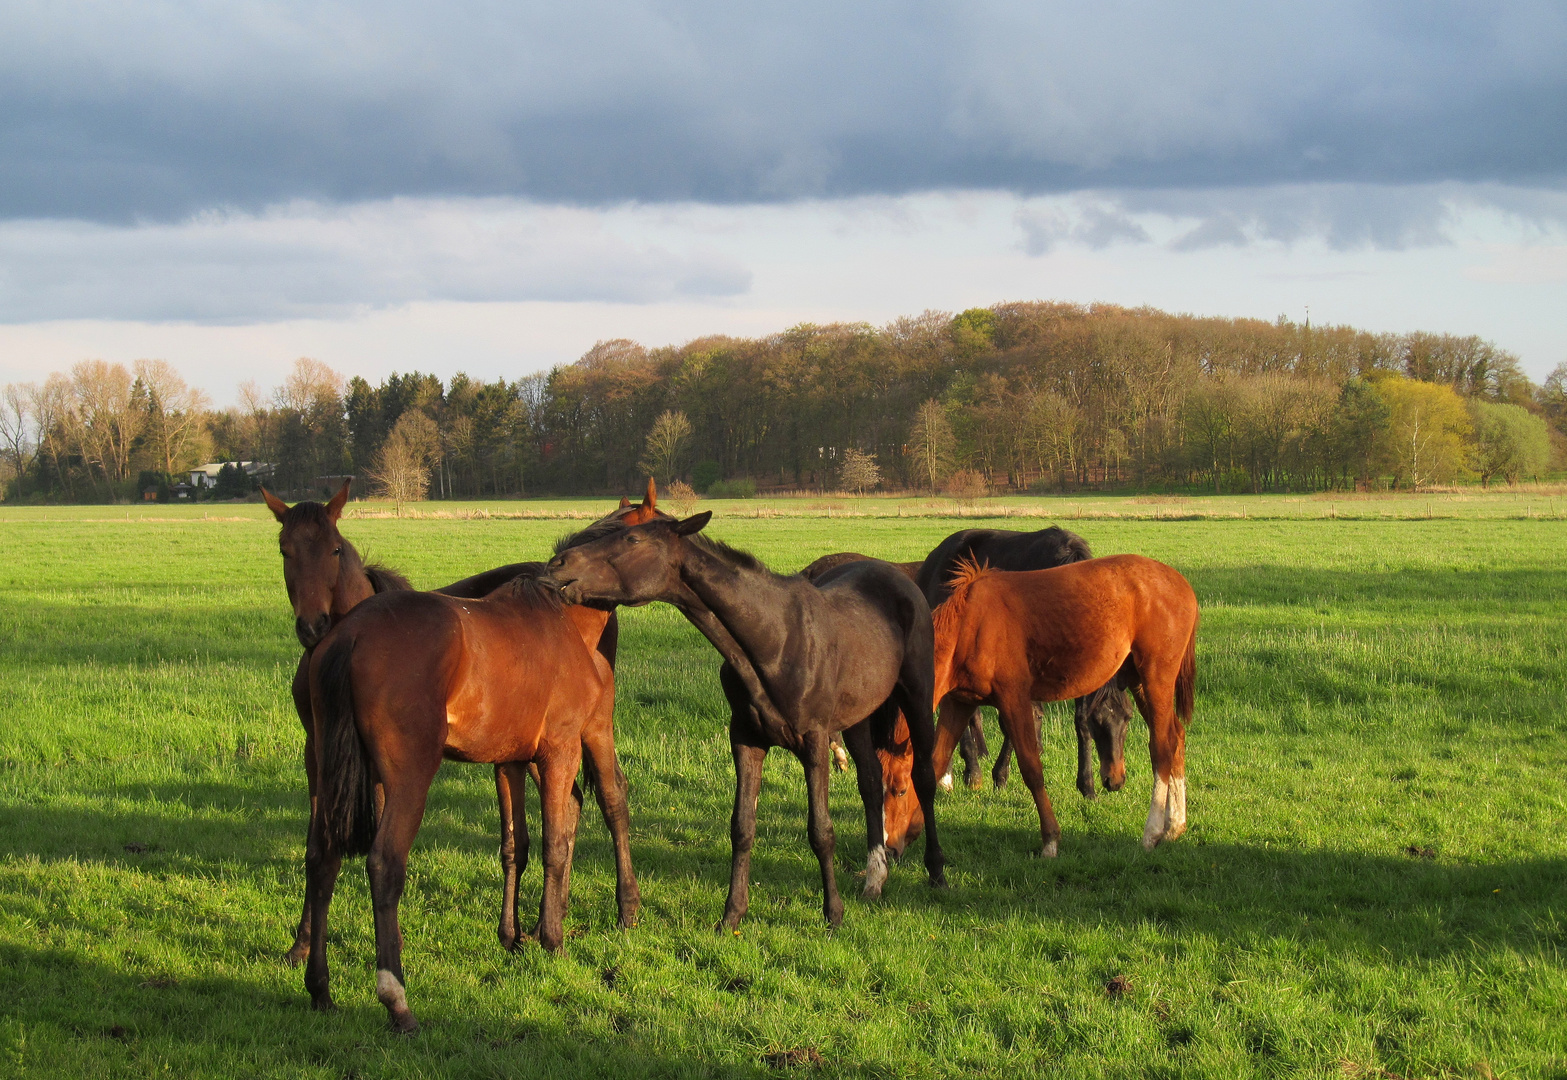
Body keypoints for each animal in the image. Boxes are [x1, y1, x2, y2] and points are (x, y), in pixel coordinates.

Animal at [264, 479, 667, 959]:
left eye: (334, 549)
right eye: (284, 550)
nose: (312, 626)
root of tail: (351, 634)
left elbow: (529, 841)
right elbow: (533, 841)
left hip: (590, 731)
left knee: (610, 799)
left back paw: (620, 909)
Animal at [305, 567, 623, 1034]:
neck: (562, 620)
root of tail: (353, 634)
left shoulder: (510, 762)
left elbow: (515, 847)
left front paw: (513, 938)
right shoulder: (560, 752)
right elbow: (556, 846)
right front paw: (552, 941)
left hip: (329, 773)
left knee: (322, 859)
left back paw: (320, 989)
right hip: (409, 779)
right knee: (384, 864)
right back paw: (397, 1001)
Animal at [551, 514, 940, 927]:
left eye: (633, 538)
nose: (558, 562)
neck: (774, 638)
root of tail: (897, 575)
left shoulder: (815, 740)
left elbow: (821, 831)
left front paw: (833, 914)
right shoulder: (746, 739)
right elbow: (742, 826)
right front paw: (732, 915)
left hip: (916, 697)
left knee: (924, 777)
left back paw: (936, 872)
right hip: (857, 718)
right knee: (870, 781)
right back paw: (874, 878)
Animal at [883, 554, 1197, 858]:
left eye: (900, 790)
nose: (889, 847)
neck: (971, 625)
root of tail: (1183, 585)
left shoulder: (1014, 699)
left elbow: (1031, 769)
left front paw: (1050, 841)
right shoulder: (958, 703)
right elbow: (936, 764)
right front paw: (913, 831)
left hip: (1156, 677)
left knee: (1162, 747)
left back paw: (1152, 833)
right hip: (1139, 681)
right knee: (1177, 737)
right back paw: (1175, 826)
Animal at [908, 526, 1140, 796]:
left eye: (1128, 718)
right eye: (1099, 723)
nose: (1114, 782)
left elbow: (1075, 718)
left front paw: (1086, 785)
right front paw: (1000, 775)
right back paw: (969, 772)